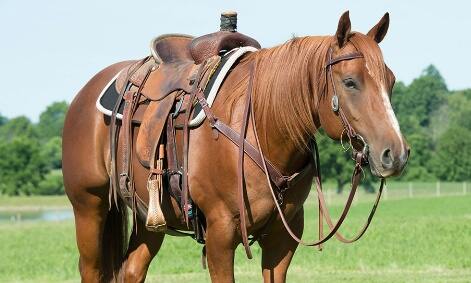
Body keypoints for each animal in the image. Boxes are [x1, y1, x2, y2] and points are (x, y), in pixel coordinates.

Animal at [62, 11, 410, 283]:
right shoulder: (220, 235)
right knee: (91, 270)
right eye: (350, 82)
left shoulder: (282, 238)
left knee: (132, 270)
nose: (395, 154)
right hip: (89, 208)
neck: (262, 129)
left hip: (150, 217)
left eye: (391, 81)